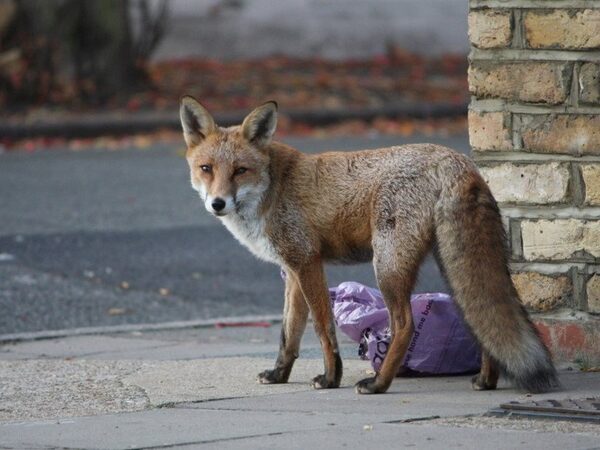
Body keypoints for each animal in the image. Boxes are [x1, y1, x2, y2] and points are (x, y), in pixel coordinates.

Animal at [178, 96, 556, 394]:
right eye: (206, 168)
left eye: (240, 170)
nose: (218, 203)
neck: (271, 190)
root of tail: (456, 160)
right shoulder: (293, 269)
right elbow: (289, 334)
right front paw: (278, 375)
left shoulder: (307, 262)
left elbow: (322, 328)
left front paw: (331, 378)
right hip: (450, 264)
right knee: (480, 317)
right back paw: (486, 380)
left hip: (387, 265)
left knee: (404, 325)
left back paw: (378, 384)